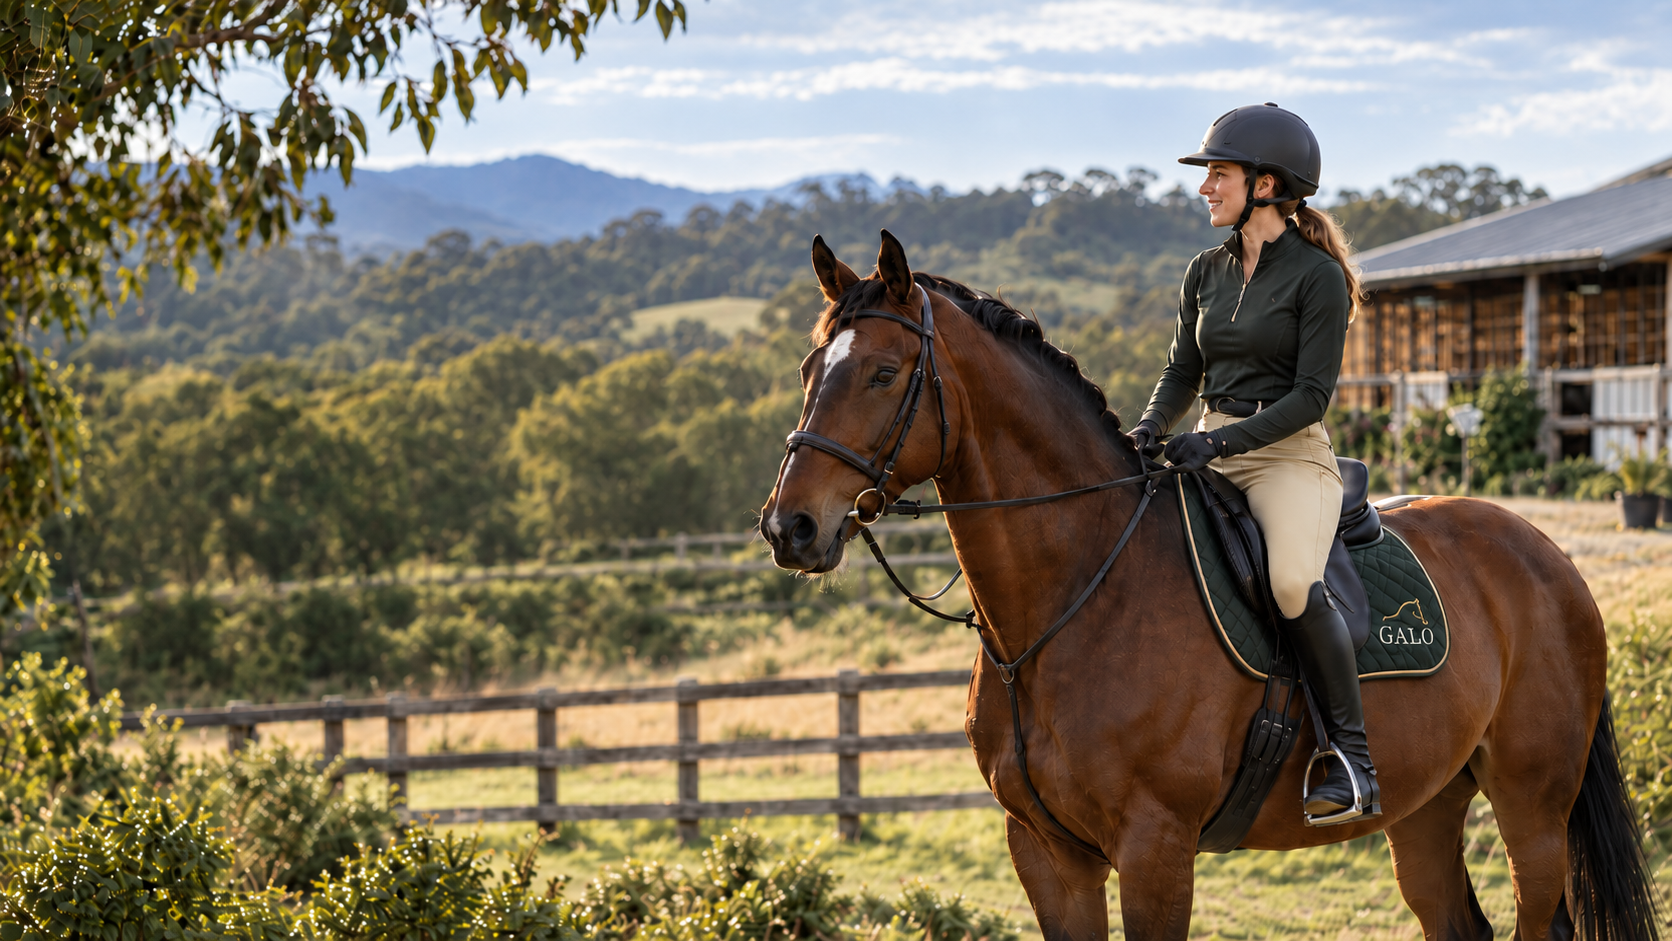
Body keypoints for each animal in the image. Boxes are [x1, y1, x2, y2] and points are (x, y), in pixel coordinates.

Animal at [759, 230, 1659, 941]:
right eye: (808, 368)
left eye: (883, 373)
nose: (789, 528)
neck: (1073, 598)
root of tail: (1547, 555)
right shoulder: (1047, 853)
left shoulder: (1155, 848)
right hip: (1428, 804)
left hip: (1532, 805)